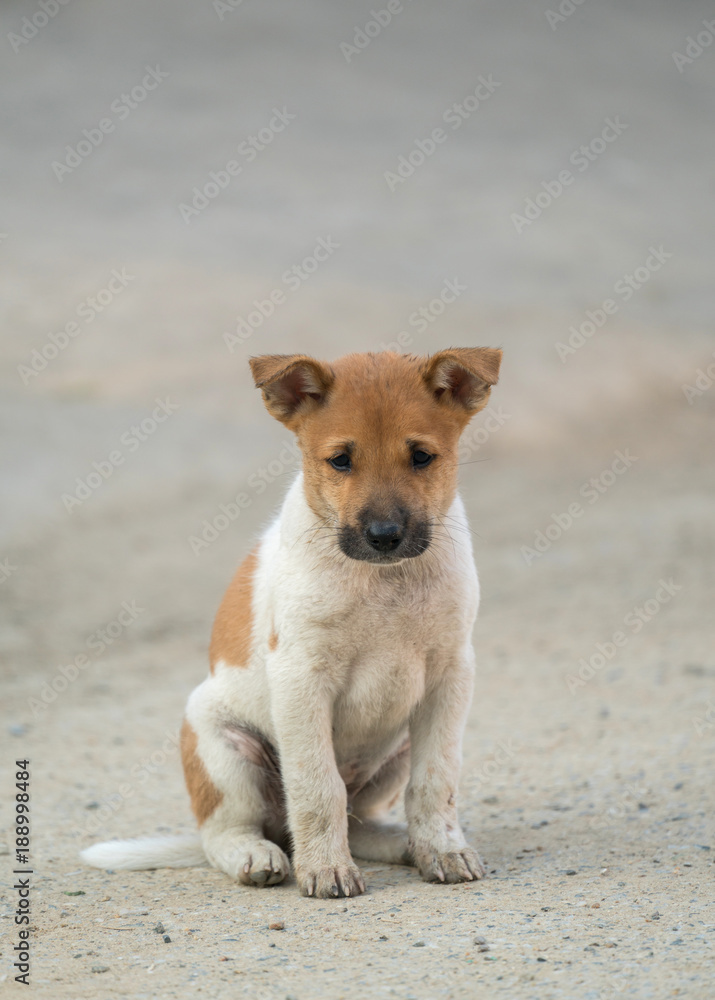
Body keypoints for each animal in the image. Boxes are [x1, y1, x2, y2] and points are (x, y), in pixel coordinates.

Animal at [82, 346, 504, 900]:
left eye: (421, 457)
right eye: (341, 460)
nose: (384, 535)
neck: (381, 580)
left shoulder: (450, 676)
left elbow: (436, 781)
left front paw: (442, 849)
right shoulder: (302, 677)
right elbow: (316, 786)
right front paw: (326, 868)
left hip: (397, 751)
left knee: (359, 820)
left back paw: (404, 844)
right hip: (223, 749)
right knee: (226, 831)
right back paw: (258, 855)